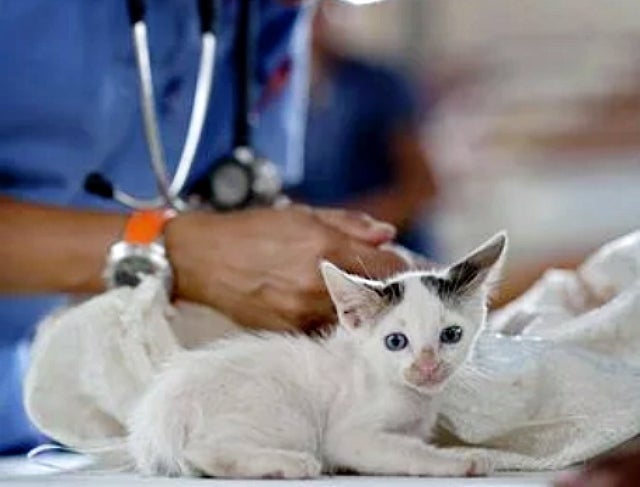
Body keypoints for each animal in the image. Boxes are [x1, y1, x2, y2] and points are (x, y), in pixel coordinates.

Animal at [126, 234, 504, 480]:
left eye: (451, 335)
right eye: (396, 341)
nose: (427, 366)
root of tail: (157, 418)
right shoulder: (348, 435)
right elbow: (405, 451)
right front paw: (462, 459)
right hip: (288, 417)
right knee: (203, 452)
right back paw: (291, 464)